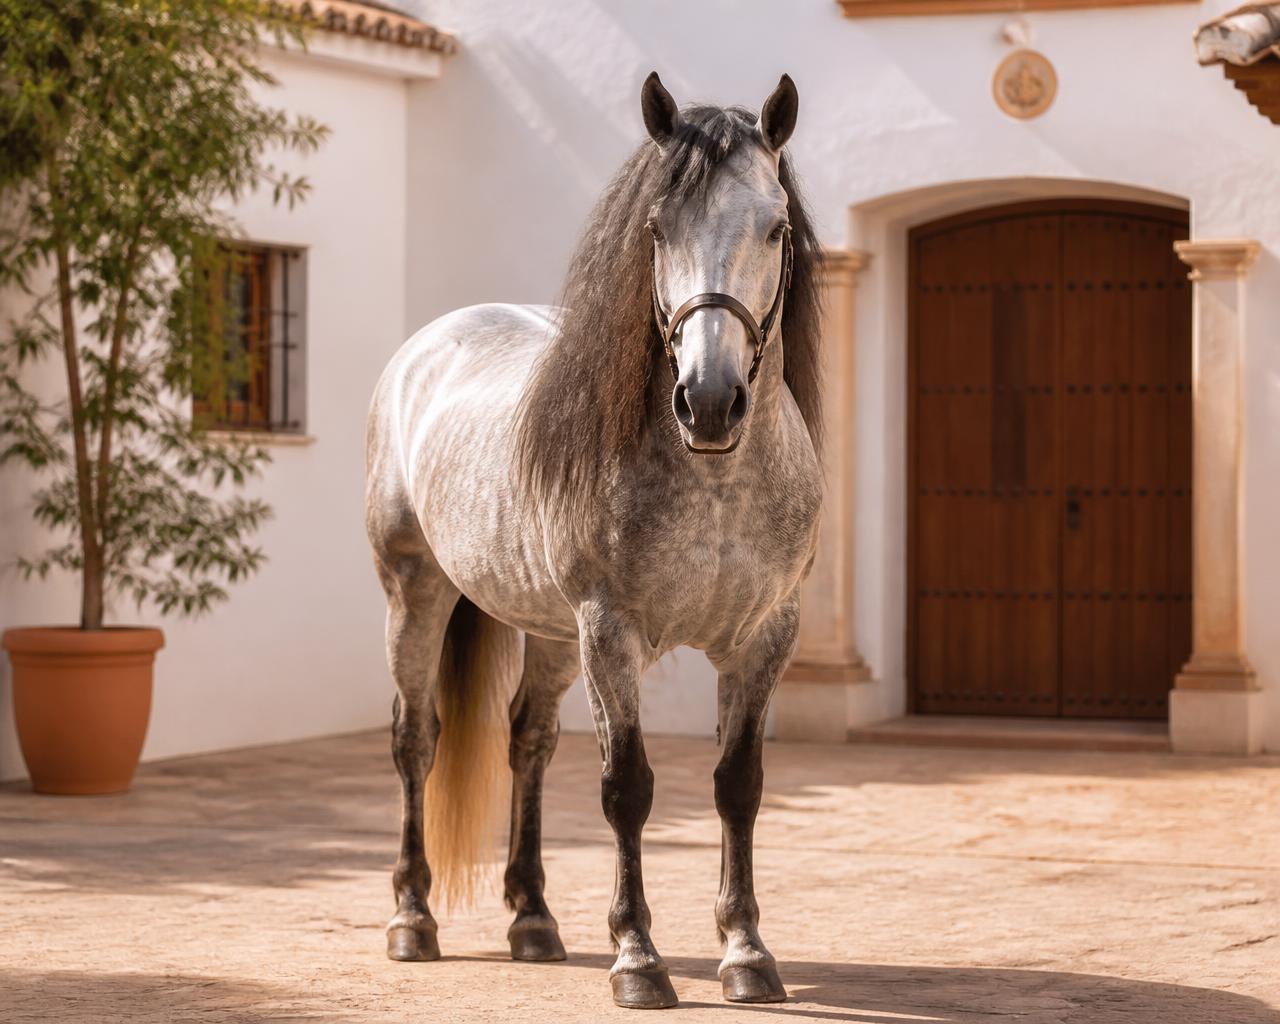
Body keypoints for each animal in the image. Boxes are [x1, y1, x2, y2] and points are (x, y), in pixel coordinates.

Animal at [364, 71, 824, 1010]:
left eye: (776, 227)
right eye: (656, 228)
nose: (709, 401)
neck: (715, 484)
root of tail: (425, 349)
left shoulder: (765, 636)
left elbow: (738, 785)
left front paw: (746, 952)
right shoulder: (611, 632)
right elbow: (626, 787)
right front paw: (638, 959)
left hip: (548, 630)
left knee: (528, 743)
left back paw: (534, 921)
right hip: (415, 592)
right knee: (415, 737)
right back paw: (413, 919)